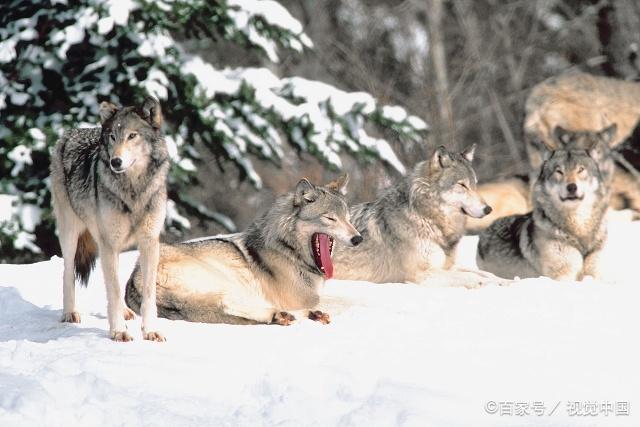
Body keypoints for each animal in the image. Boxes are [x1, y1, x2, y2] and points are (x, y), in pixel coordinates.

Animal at [49, 96, 170, 342]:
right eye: (113, 137)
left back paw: (125, 311)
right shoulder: (109, 243)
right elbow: (113, 291)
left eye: (132, 136)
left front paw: (150, 330)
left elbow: (148, 293)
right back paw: (70, 313)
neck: (133, 190)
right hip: (71, 234)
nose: (116, 162)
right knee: (68, 273)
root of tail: (72, 132)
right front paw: (119, 332)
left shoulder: (149, 242)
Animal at [124, 176, 360, 326]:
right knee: (228, 304)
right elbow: (343, 300)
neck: (289, 250)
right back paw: (285, 315)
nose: (358, 238)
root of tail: (134, 279)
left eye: (348, 219)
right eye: (330, 218)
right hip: (222, 280)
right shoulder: (302, 297)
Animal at [332, 145, 502, 290]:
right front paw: (487, 284)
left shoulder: (448, 265)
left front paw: (503, 281)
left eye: (475, 184)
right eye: (462, 185)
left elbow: (485, 273)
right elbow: (470, 277)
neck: (427, 218)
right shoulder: (421, 274)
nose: (488, 209)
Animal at [476, 125, 616, 282]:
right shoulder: (563, 276)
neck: (579, 230)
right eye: (559, 171)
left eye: (581, 170)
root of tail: (486, 230)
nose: (571, 187)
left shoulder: (596, 274)